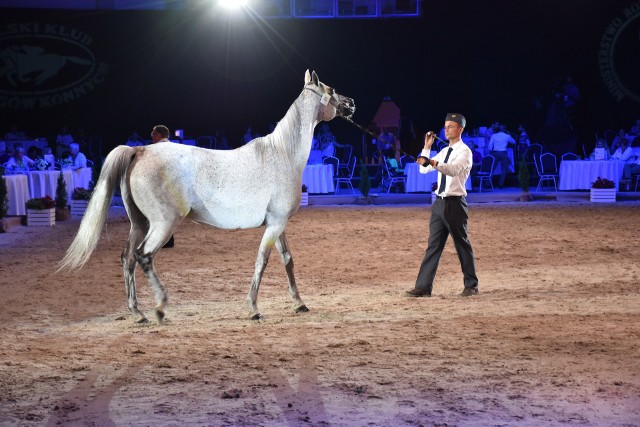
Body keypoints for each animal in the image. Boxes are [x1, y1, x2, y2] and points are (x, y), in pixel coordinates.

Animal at [58, 70, 356, 322]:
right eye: (330, 88)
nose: (351, 103)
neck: (282, 155)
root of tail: (139, 151)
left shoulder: (277, 224)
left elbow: (287, 261)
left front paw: (299, 303)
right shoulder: (275, 225)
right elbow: (262, 262)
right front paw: (253, 308)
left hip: (140, 223)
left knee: (127, 258)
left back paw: (138, 313)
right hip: (163, 224)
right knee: (144, 256)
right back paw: (160, 308)